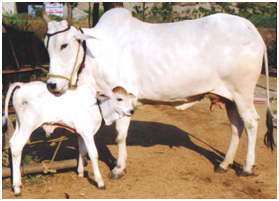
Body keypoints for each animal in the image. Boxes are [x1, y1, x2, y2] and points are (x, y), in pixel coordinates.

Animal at [3, 81, 136, 196]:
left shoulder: (80, 133)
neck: (98, 106)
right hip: (28, 126)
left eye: (129, 99)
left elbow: (83, 151)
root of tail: (22, 85)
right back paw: (17, 188)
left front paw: (80, 173)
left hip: (20, 125)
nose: (131, 110)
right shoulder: (87, 132)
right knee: (16, 146)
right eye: (119, 98)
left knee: (12, 143)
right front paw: (100, 182)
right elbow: (93, 154)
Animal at [42, 8, 276, 179]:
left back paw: (246, 167)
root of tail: (249, 26)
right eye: (47, 46)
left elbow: (120, 136)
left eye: (64, 45)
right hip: (229, 98)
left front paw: (118, 168)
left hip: (243, 93)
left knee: (251, 122)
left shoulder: (123, 96)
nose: (52, 85)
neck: (94, 54)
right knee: (236, 126)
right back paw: (224, 163)